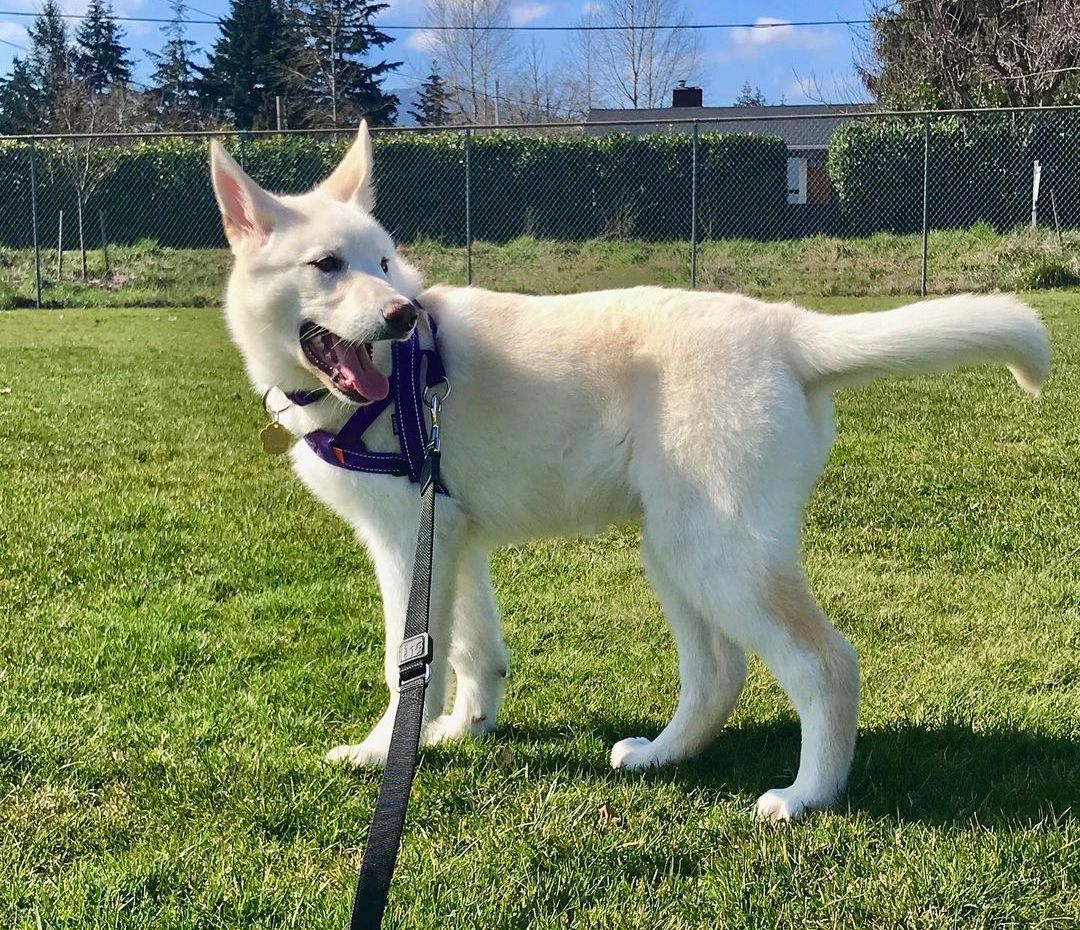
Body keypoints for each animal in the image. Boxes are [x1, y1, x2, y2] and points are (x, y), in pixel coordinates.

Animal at [208, 123, 1045, 820]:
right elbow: (474, 650)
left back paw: (808, 796)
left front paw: (385, 750)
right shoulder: (451, 536)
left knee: (826, 666)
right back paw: (661, 756)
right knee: (718, 674)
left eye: (382, 263)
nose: (401, 315)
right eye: (327, 266)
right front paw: (461, 730)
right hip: (676, 548)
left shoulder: (407, 541)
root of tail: (785, 327)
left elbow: (410, 659)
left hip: (718, 556)